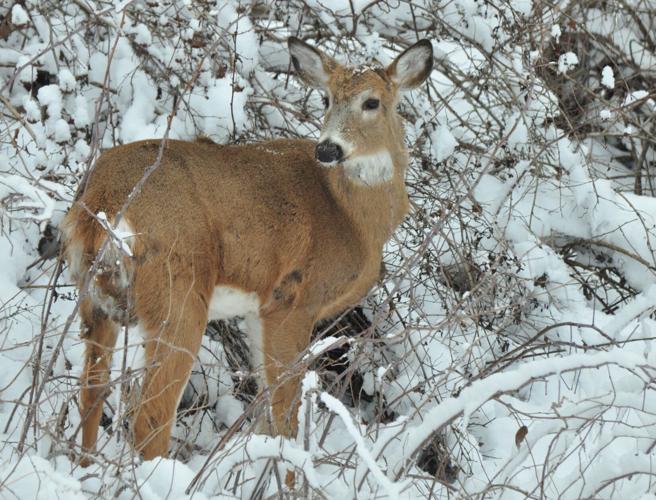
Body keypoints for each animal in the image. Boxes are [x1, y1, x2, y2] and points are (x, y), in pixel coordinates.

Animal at [62, 37, 433, 475]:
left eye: (371, 101)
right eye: (326, 98)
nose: (328, 148)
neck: (353, 218)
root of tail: (101, 203)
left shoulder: (260, 311)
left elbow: (265, 414)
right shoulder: (293, 301)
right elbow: (285, 416)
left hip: (95, 299)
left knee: (91, 392)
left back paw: (84, 467)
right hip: (177, 294)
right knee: (150, 418)